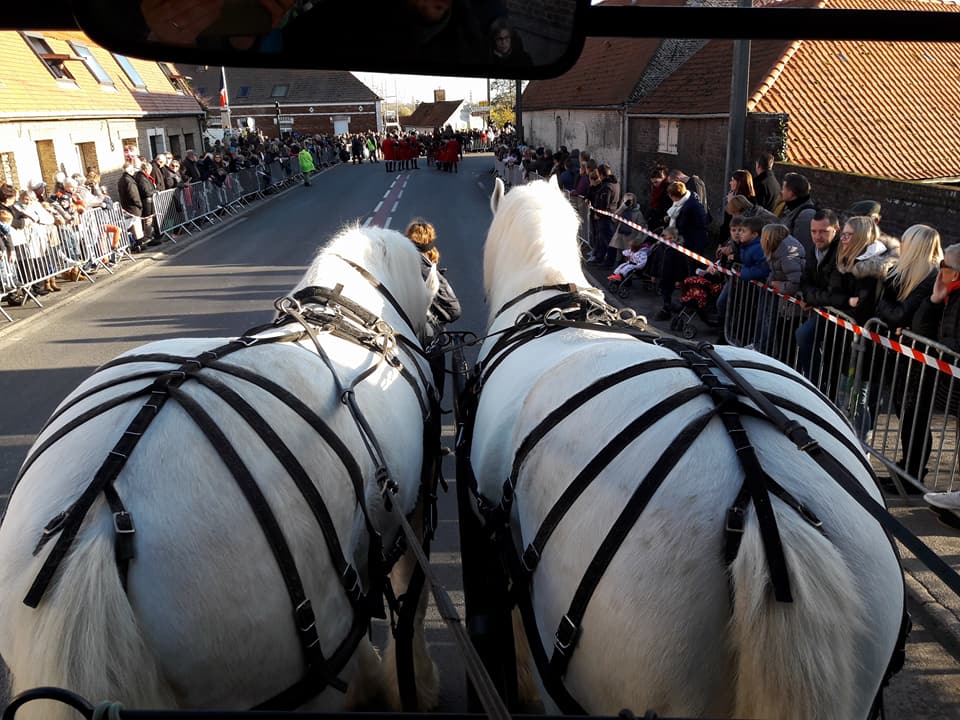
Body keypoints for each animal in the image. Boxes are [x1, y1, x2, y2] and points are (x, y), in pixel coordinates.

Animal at [0, 226, 440, 720]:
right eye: (429, 268)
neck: (344, 317)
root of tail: (102, 516)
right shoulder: (413, 511)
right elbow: (412, 602)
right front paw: (414, 687)